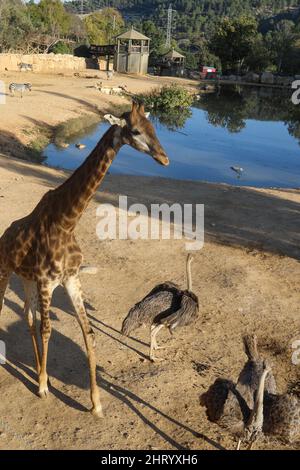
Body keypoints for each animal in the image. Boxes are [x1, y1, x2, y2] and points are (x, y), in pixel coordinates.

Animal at [0, 101, 169, 416]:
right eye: (136, 131)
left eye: (154, 128)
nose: (164, 158)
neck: (67, 222)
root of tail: (5, 235)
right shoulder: (47, 281)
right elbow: (48, 329)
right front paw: (43, 387)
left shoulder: (71, 280)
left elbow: (88, 333)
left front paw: (96, 403)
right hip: (6, 271)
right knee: (23, 316)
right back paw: (37, 375)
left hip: (26, 279)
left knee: (28, 315)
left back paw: (39, 368)